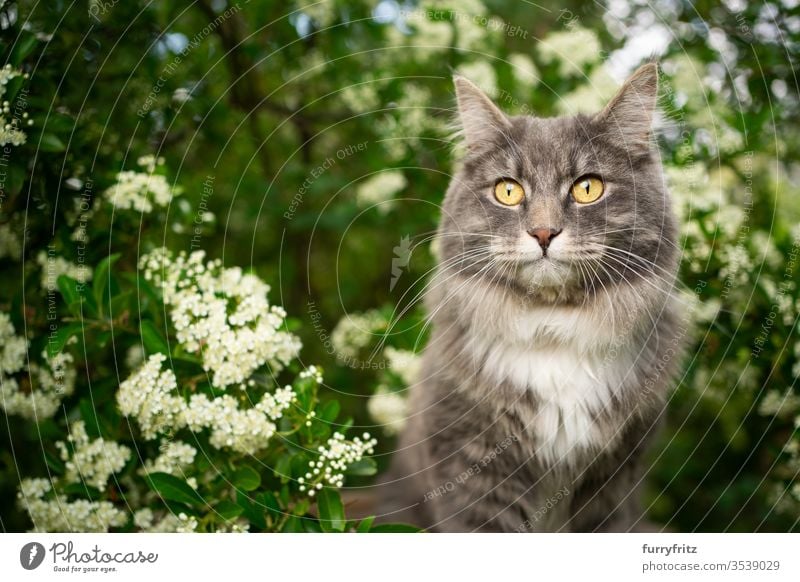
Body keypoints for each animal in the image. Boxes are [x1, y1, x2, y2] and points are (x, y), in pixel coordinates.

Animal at [376, 62, 688, 532]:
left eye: (587, 188)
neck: (553, 327)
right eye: (509, 191)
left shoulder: (614, 480)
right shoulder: (472, 469)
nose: (543, 233)